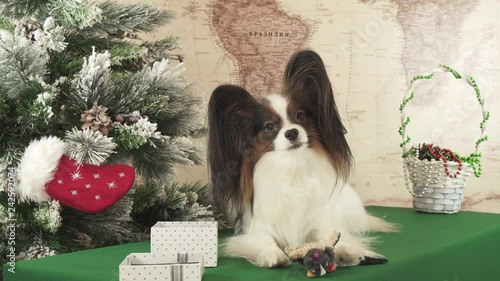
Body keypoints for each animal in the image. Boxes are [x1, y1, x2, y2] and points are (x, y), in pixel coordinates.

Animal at [207, 49, 394, 268]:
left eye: (300, 116)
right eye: (270, 126)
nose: (292, 132)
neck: (293, 166)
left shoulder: (319, 221)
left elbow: (332, 236)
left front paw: (346, 252)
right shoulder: (256, 228)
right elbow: (264, 239)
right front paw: (272, 254)